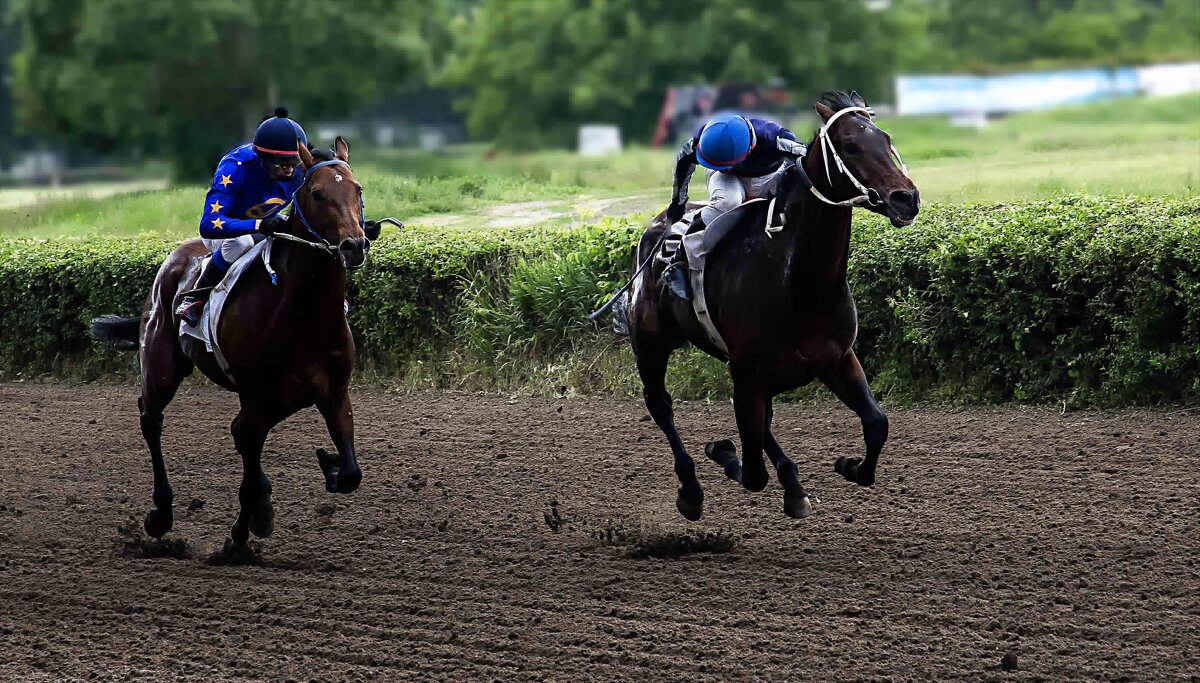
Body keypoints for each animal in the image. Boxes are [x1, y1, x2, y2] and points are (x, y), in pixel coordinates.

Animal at [93, 138, 379, 549]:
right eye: (317, 193)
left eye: (357, 190)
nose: (354, 245)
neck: (304, 315)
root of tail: (175, 258)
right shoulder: (257, 395)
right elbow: (247, 447)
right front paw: (244, 532)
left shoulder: (332, 391)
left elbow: (351, 472)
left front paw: (328, 466)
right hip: (162, 368)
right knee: (151, 418)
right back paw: (161, 514)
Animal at [628, 89, 916, 516]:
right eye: (850, 145)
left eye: (885, 138)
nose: (906, 199)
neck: (800, 286)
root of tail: (656, 229)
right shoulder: (746, 374)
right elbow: (752, 473)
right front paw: (721, 450)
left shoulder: (836, 358)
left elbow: (877, 424)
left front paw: (847, 466)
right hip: (650, 344)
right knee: (660, 405)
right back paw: (691, 491)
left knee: (761, 425)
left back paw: (792, 485)